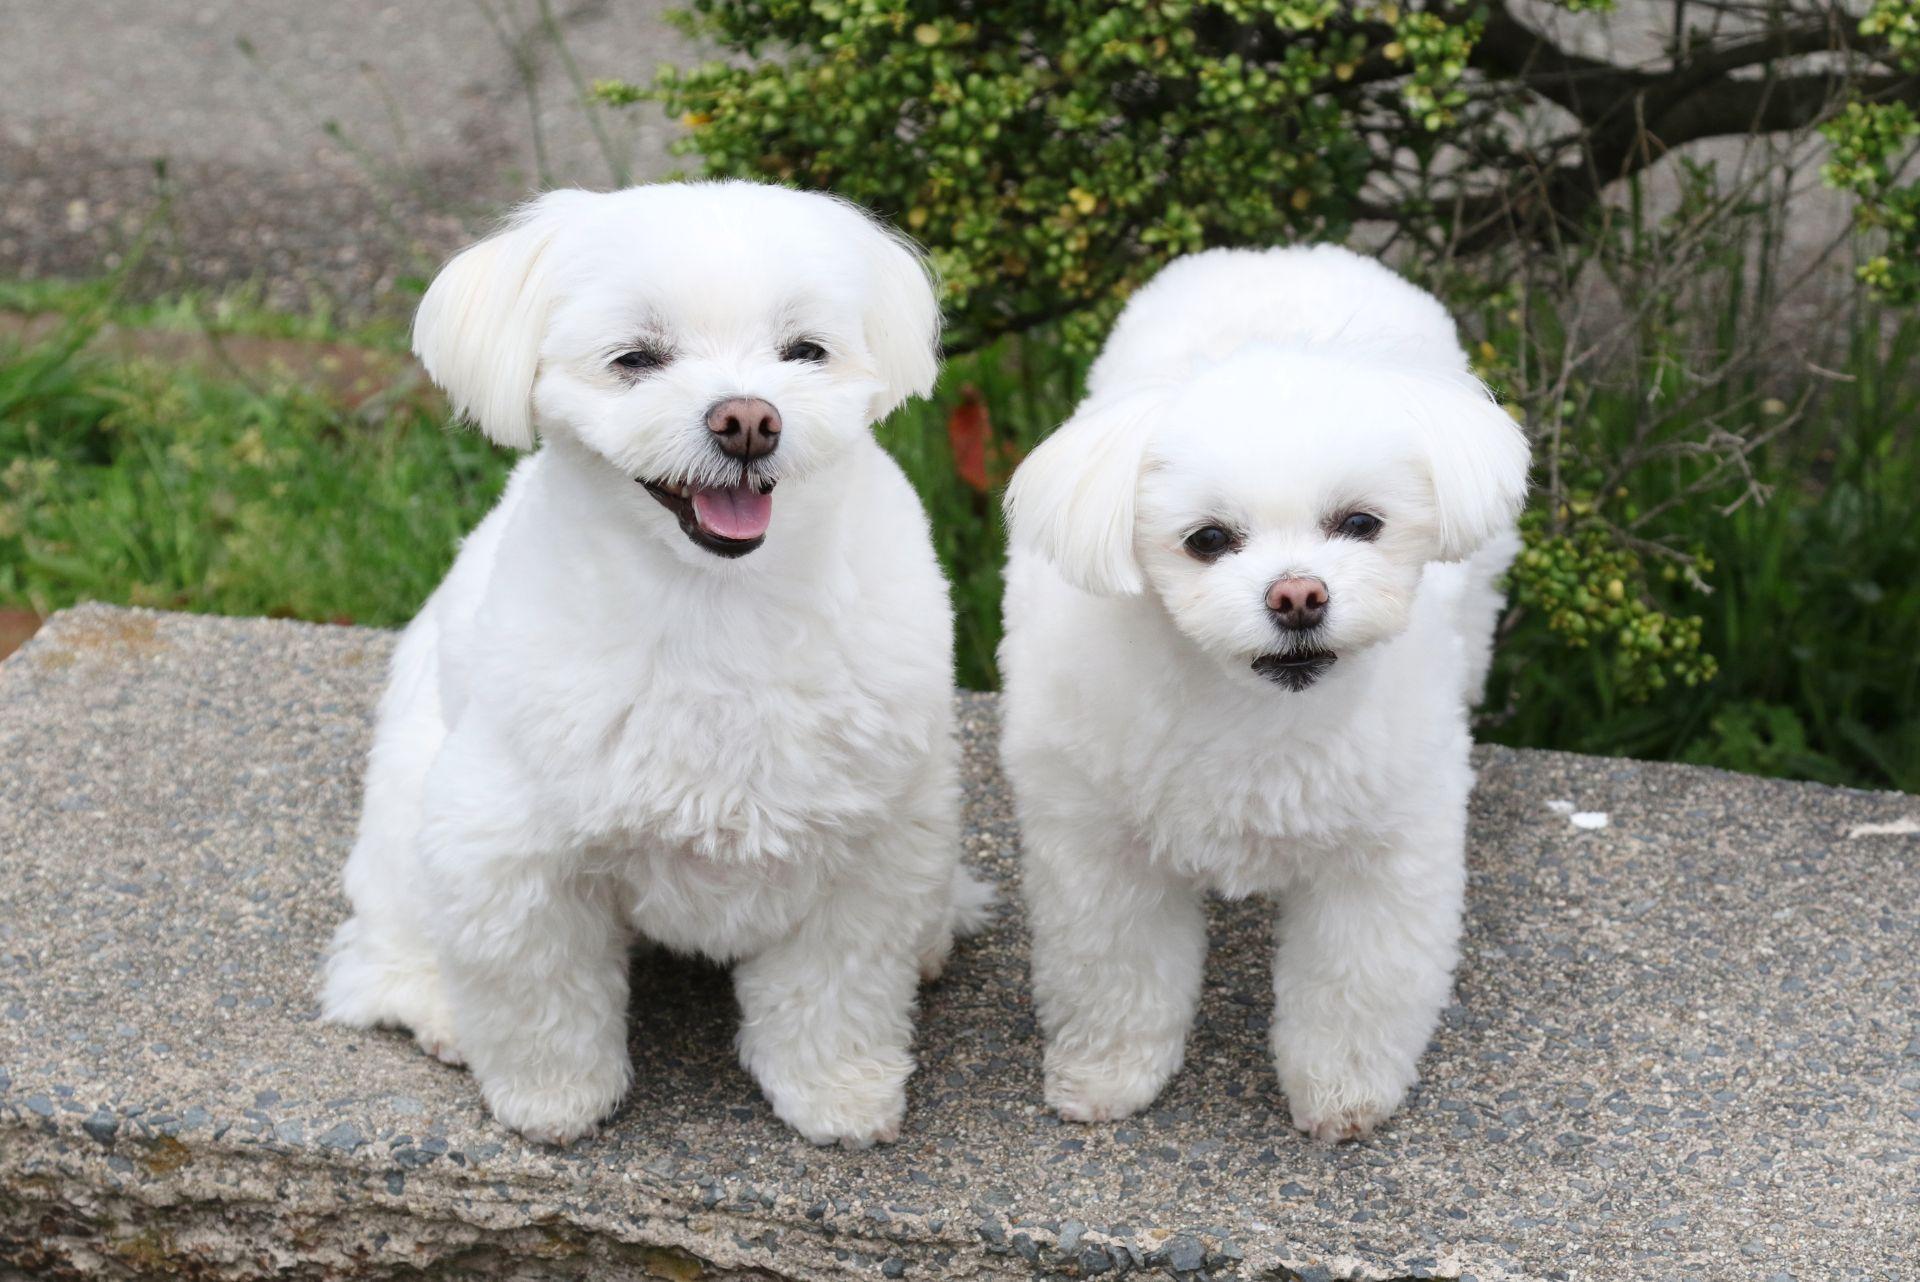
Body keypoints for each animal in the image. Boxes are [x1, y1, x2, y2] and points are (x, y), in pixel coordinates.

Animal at [320, 177, 990, 1143]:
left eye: (804, 351)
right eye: (635, 359)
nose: (748, 419)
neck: (717, 607)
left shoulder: (872, 839)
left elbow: (836, 990)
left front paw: (838, 1093)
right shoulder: (508, 847)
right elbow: (537, 990)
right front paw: (553, 1100)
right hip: (408, 806)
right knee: (387, 951)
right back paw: (437, 1008)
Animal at [998, 242, 1520, 1143]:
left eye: (1361, 524)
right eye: (1208, 540)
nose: (1298, 596)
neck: (1249, 709)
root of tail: (1284, 252)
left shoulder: (1381, 855)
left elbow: (1355, 985)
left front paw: (1343, 1094)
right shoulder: (1099, 847)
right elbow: (1115, 973)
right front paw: (1109, 1075)